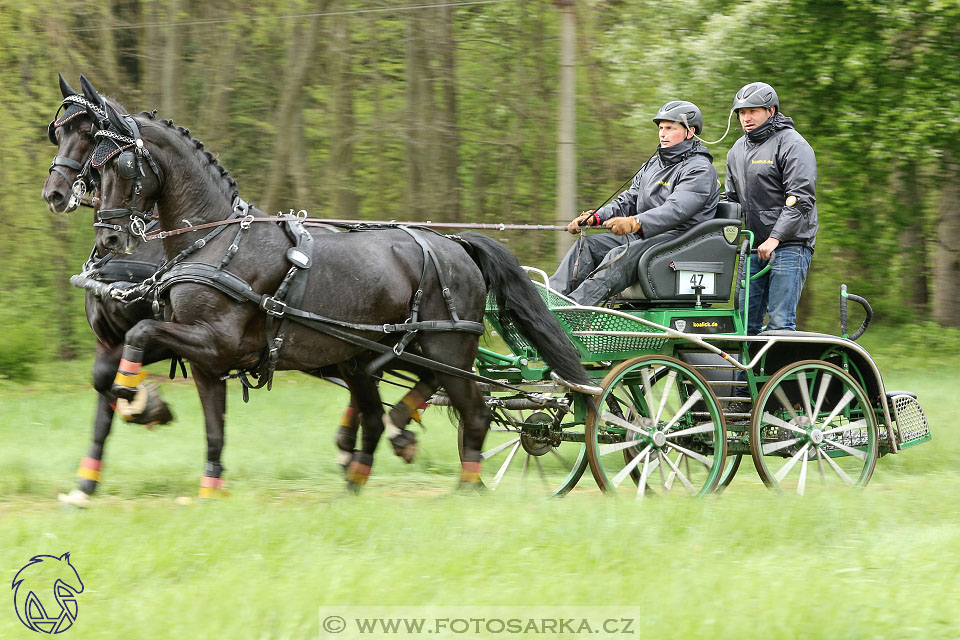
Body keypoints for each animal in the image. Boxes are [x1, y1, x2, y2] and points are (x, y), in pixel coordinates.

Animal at [86, 96, 588, 496]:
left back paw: (466, 487)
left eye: (120, 166)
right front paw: (204, 483)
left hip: (447, 347)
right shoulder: (206, 356)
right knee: (396, 407)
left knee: (476, 413)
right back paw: (375, 468)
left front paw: (132, 394)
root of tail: (455, 244)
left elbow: (141, 332)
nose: (108, 237)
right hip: (384, 351)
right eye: (95, 167)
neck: (218, 241)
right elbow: (213, 428)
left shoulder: (214, 341)